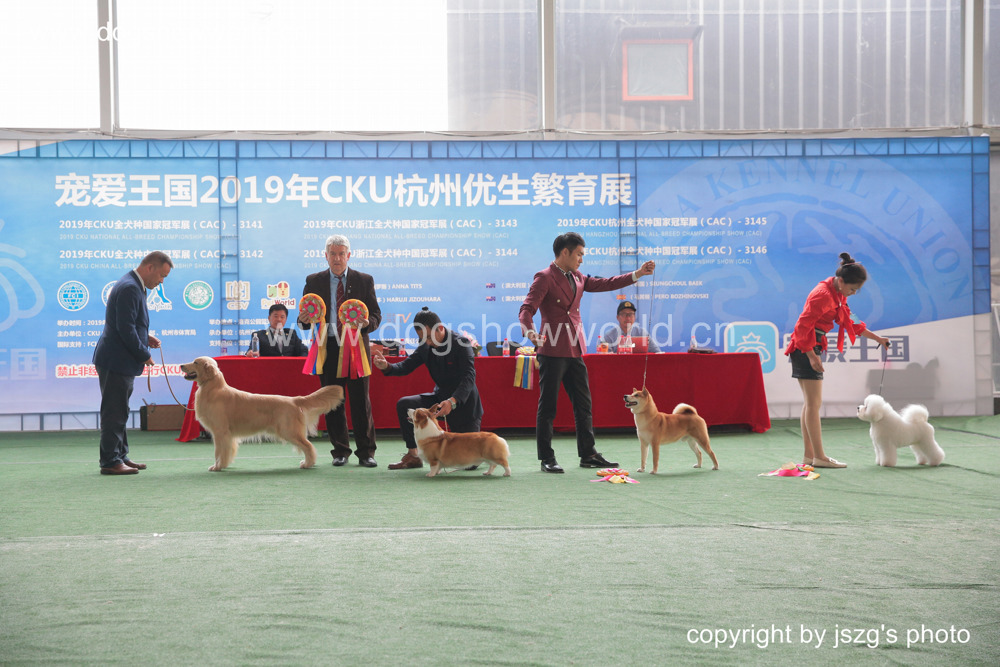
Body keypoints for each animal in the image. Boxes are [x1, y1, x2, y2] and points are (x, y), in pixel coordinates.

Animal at [180, 356, 343, 471]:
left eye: (195, 362)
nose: (181, 365)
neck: (213, 389)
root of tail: (294, 400)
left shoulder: (221, 432)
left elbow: (219, 452)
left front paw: (217, 467)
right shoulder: (224, 434)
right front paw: (223, 465)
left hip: (289, 431)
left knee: (308, 446)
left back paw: (308, 464)